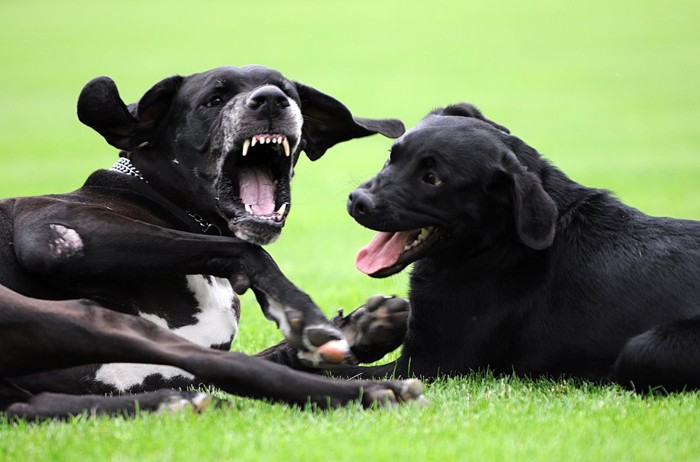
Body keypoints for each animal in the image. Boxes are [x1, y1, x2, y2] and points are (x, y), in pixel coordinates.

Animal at [0, 65, 426, 418]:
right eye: (213, 100)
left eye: (287, 89)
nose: (271, 99)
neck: (173, 206)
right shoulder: (52, 231)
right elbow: (249, 251)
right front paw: (303, 313)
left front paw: (362, 328)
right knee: (233, 366)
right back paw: (372, 392)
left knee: (28, 405)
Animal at [340, 103, 700, 392]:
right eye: (391, 156)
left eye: (432, 178)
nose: (358, 201)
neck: (496, 246)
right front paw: (369, 323)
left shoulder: (427, 364)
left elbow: (341, 370)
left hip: (649, 346)